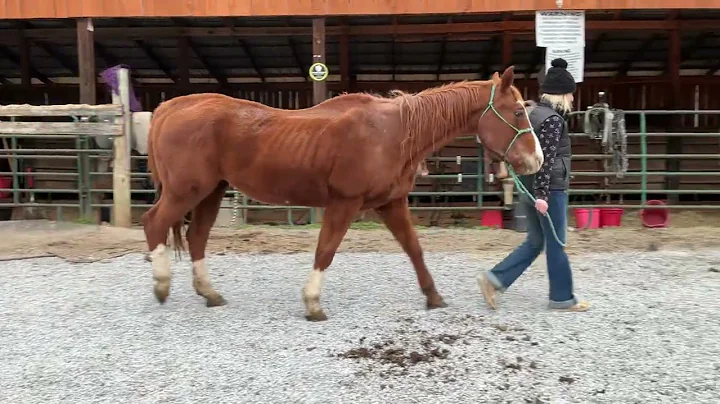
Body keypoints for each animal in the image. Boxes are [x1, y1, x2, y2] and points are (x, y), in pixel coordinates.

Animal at [142, 65, 542, 321]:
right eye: (518, 112)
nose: (536, 160)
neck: (392, 131)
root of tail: (170, 106)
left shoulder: (391, 204)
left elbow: (414, 249)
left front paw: (433, 296)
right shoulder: (344, 204)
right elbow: (326, 251)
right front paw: (313, 303)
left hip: (210, 192)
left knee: (196, 236)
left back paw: (209, 293)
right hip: (186, 191)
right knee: (153, 223)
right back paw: (161, 285)